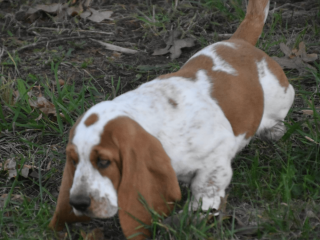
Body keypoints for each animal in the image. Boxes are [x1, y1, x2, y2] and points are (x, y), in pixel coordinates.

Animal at [49, 0, 296, 238]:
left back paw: (274, 130)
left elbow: (205, 189)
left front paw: (194, 217)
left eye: (103, 162)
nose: (77, 203)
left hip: (280, 96)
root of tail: (238, 42)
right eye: (73, 160)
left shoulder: (217, 154)